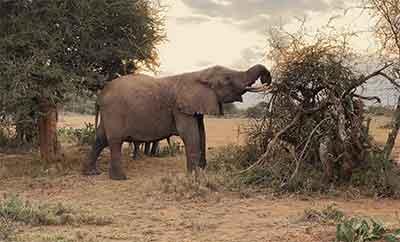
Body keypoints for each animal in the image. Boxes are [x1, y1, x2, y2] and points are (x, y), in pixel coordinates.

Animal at [83, 64, 274, 180]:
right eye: (227, 80)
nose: (266, 78)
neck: (200, 74)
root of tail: (100, 96)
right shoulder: (180, 108)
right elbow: (190, 134)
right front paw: (195, 176)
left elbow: (201, 133)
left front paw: (202, 172)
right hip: (115, 111)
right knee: (114, 140)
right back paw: (120, 178)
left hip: (109, 113)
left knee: (100, 138)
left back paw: (91, 173)